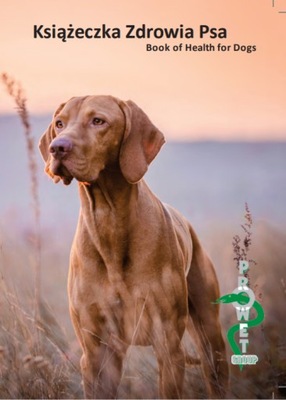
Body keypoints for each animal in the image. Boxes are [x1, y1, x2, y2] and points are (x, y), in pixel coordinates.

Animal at [39, 95, 229, 398]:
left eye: (98, 121)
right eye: (59, 123)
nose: (57, 147)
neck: (109, 221)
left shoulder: (168, 345)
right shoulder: (96, 353)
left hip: (210, 336)